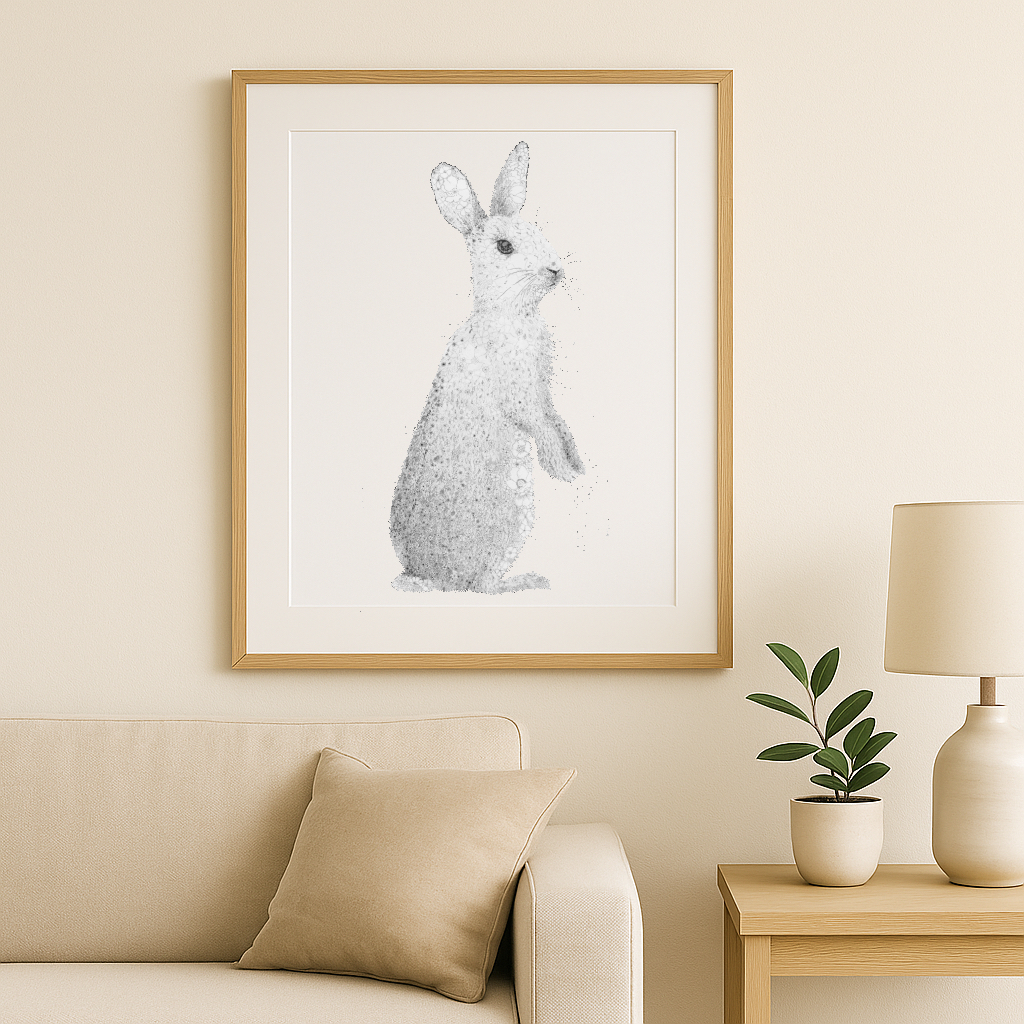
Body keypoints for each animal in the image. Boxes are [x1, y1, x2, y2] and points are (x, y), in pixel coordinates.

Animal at [390, 141, 584, 594]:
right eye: (504, 247)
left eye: (537, 231)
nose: (556, 269)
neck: (510, 312)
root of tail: (428, 575)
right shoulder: (518, 392)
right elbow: (538, 424)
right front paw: (559, 468)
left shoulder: (542, 390)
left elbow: (555, 417)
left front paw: (576, 462)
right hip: (508, 526)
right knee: (481, 587)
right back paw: (528, 581)